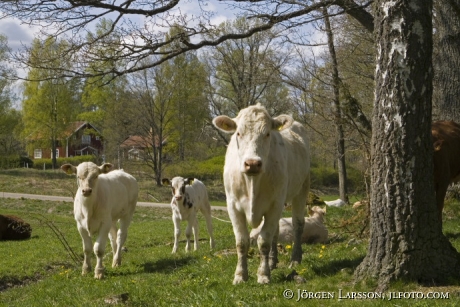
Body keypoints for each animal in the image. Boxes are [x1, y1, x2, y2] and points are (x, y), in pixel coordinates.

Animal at [214, 104, 310, 286]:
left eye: (267, 134)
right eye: (238, 133)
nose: (252, 163)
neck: (252, 182)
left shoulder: (275, 204)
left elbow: (264, 241)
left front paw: (263, 274)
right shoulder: (232, 206)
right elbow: (242, 242)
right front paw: (240, 275)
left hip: (302, 189)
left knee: (298, 225)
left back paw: (295, 258)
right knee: (276, 231)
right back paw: (272, 261)